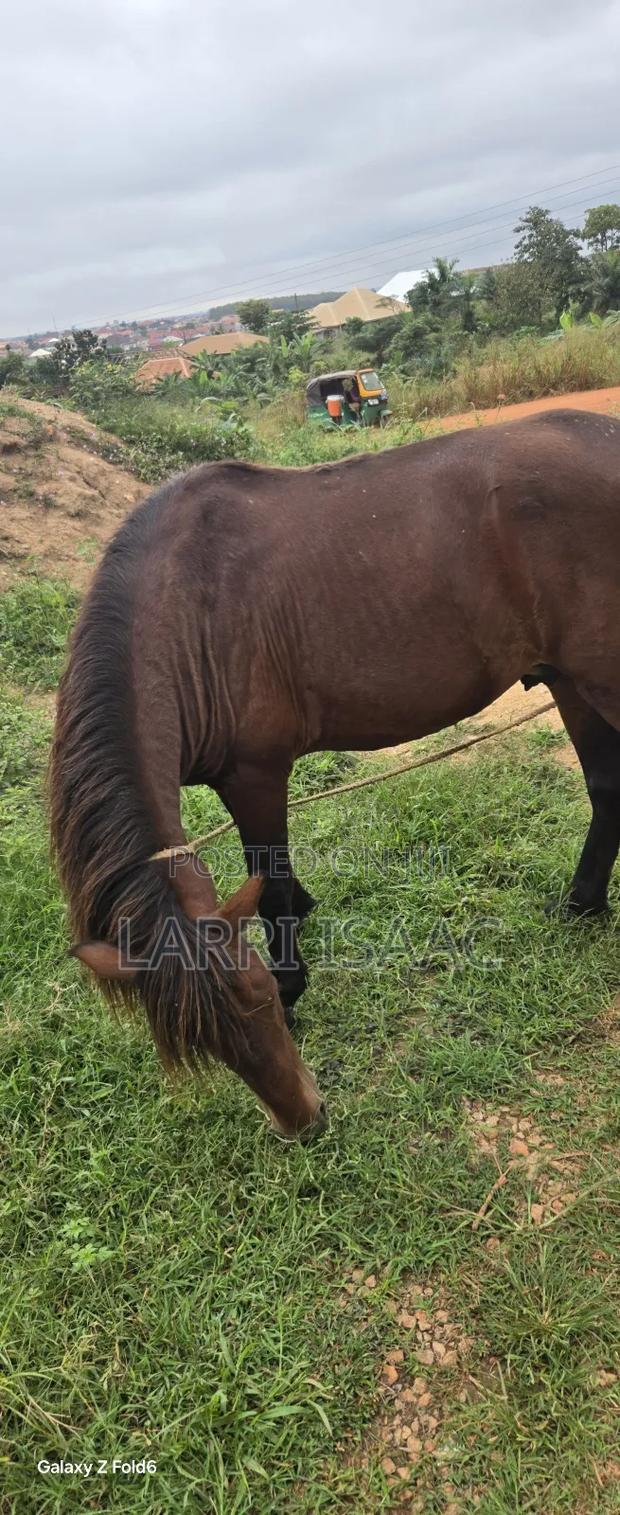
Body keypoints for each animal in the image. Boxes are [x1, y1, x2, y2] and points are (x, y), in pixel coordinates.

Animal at [50, 408, 620, 1140]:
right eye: (205, 1045)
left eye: (262, 997)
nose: (303, 1121)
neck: (187, 606)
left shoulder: (256, 774)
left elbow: (271, 889)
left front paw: (298, 980)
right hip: (570, 679)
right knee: (607, 791)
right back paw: (581, 905)